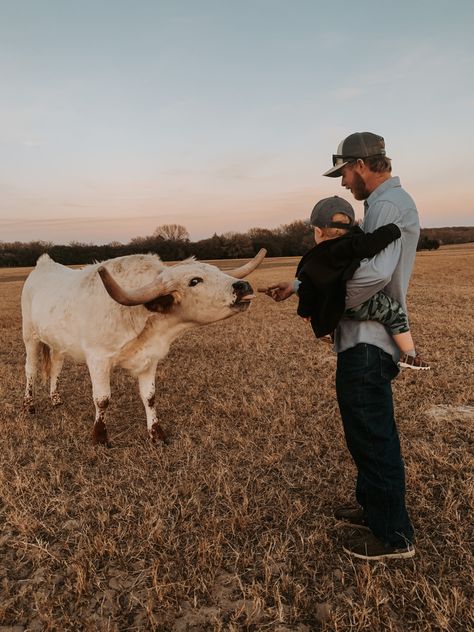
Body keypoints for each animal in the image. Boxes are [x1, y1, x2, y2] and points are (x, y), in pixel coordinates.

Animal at [20, 249, 264, 446]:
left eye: (216, 270)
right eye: (194, 281)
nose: (243, 286)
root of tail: (42, 265)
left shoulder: (149, 359)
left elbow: (149, 396)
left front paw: (156, 434)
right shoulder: (98, 360)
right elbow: (102, 399)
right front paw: (99, 437)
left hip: (58, 343)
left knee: (56, 367)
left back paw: (55, 398)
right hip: (30, 337)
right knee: (30, 370)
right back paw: (29, 405)